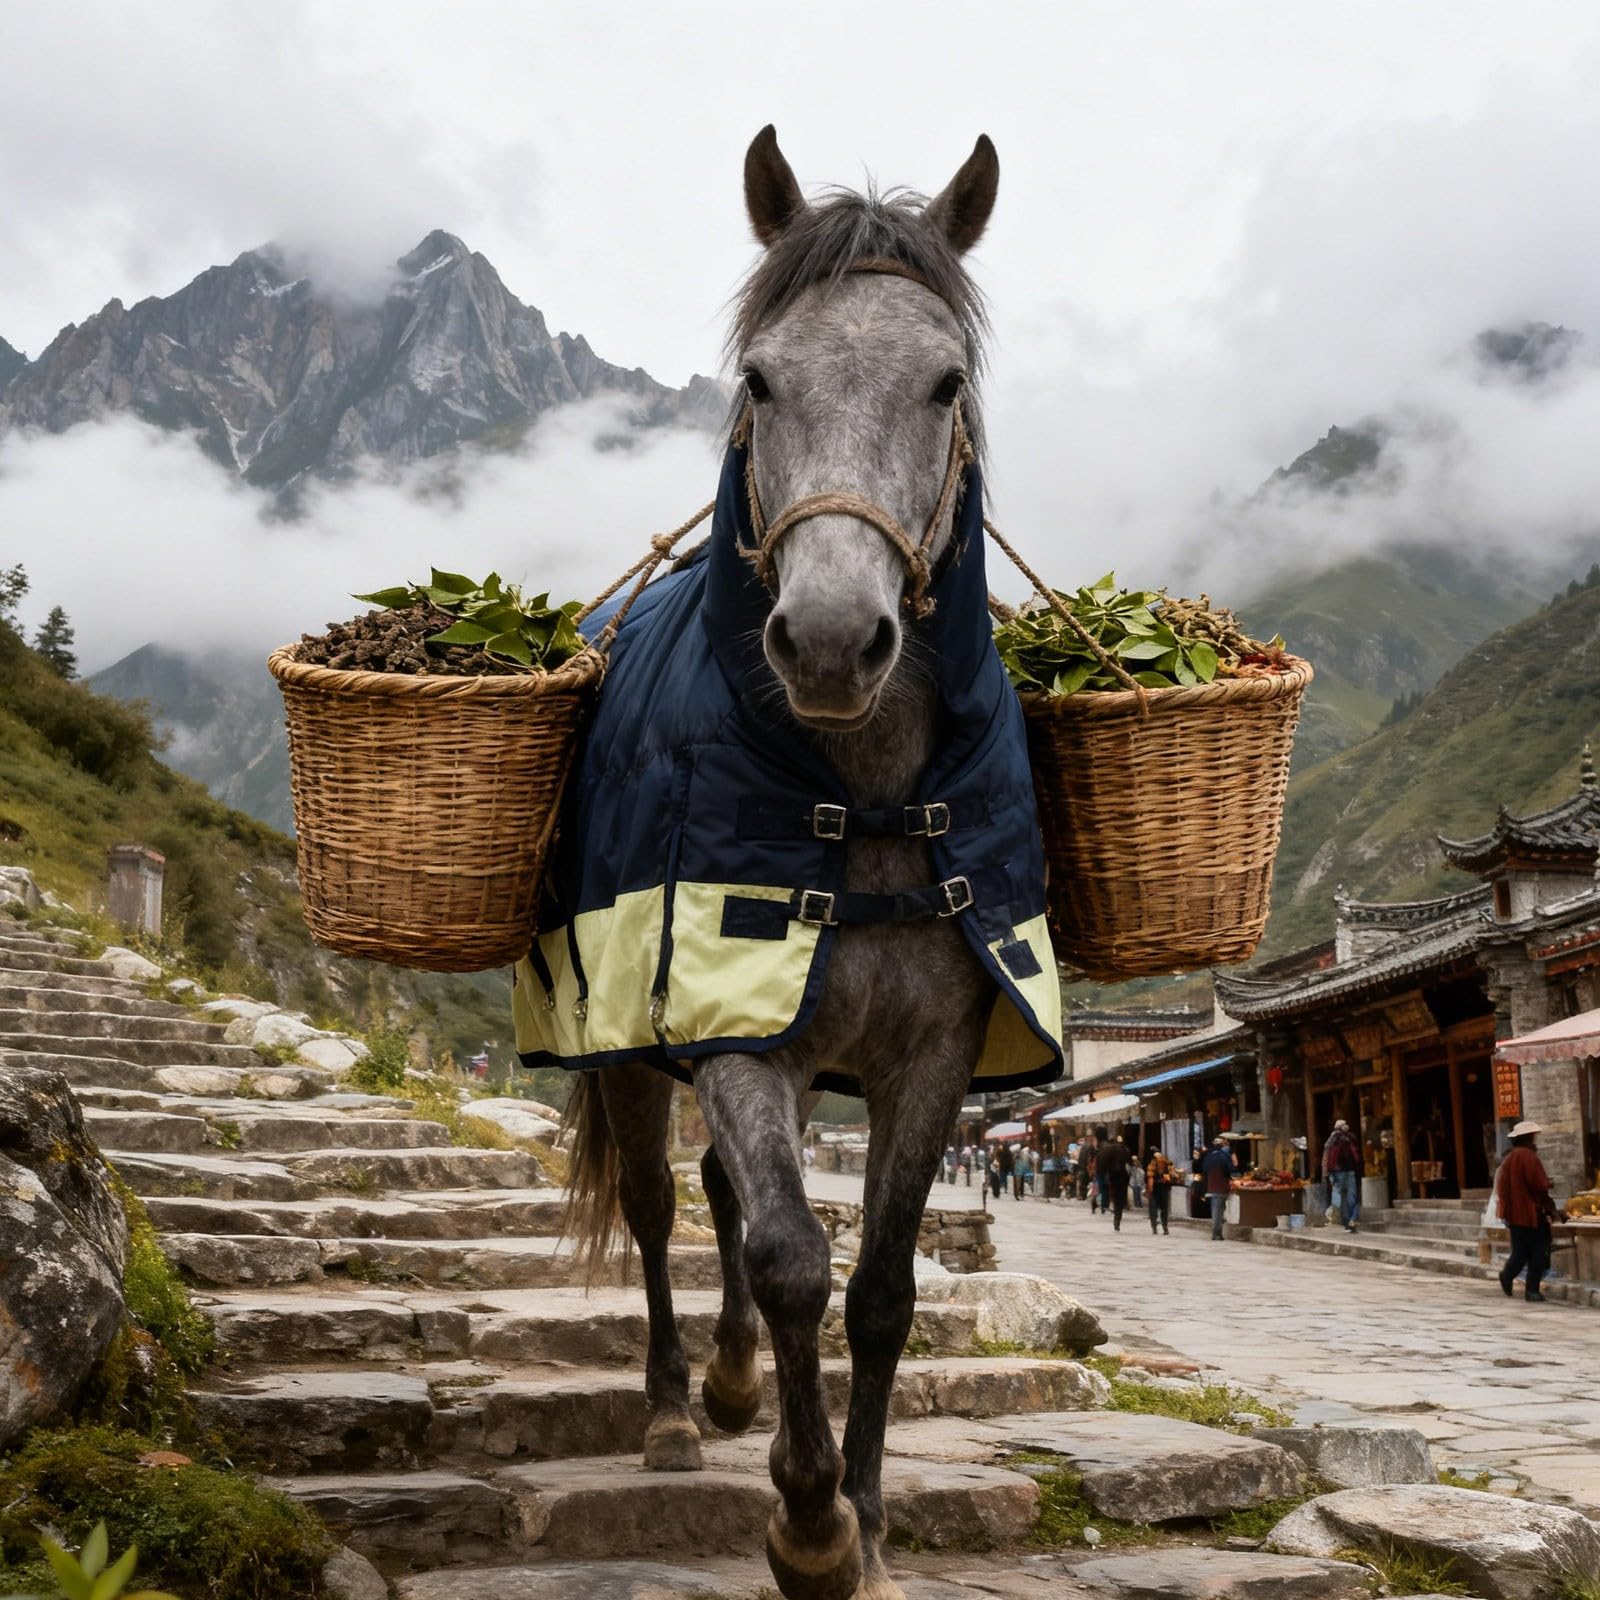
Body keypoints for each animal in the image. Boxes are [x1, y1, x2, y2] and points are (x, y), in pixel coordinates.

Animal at [561, 125, 1043, 1600]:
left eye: (946, 383)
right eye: (760, 381)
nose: (830, 640)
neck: (865, 807)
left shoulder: (927, 1057)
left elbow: (882, 1288)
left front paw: (869, 1518)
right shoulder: (736, 1027)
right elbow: (789, 1256)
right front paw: (810, 1524)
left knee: (717, 1198)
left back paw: (728, 1387)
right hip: (632, 1046)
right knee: (662, 1202)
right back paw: (675, 1408)